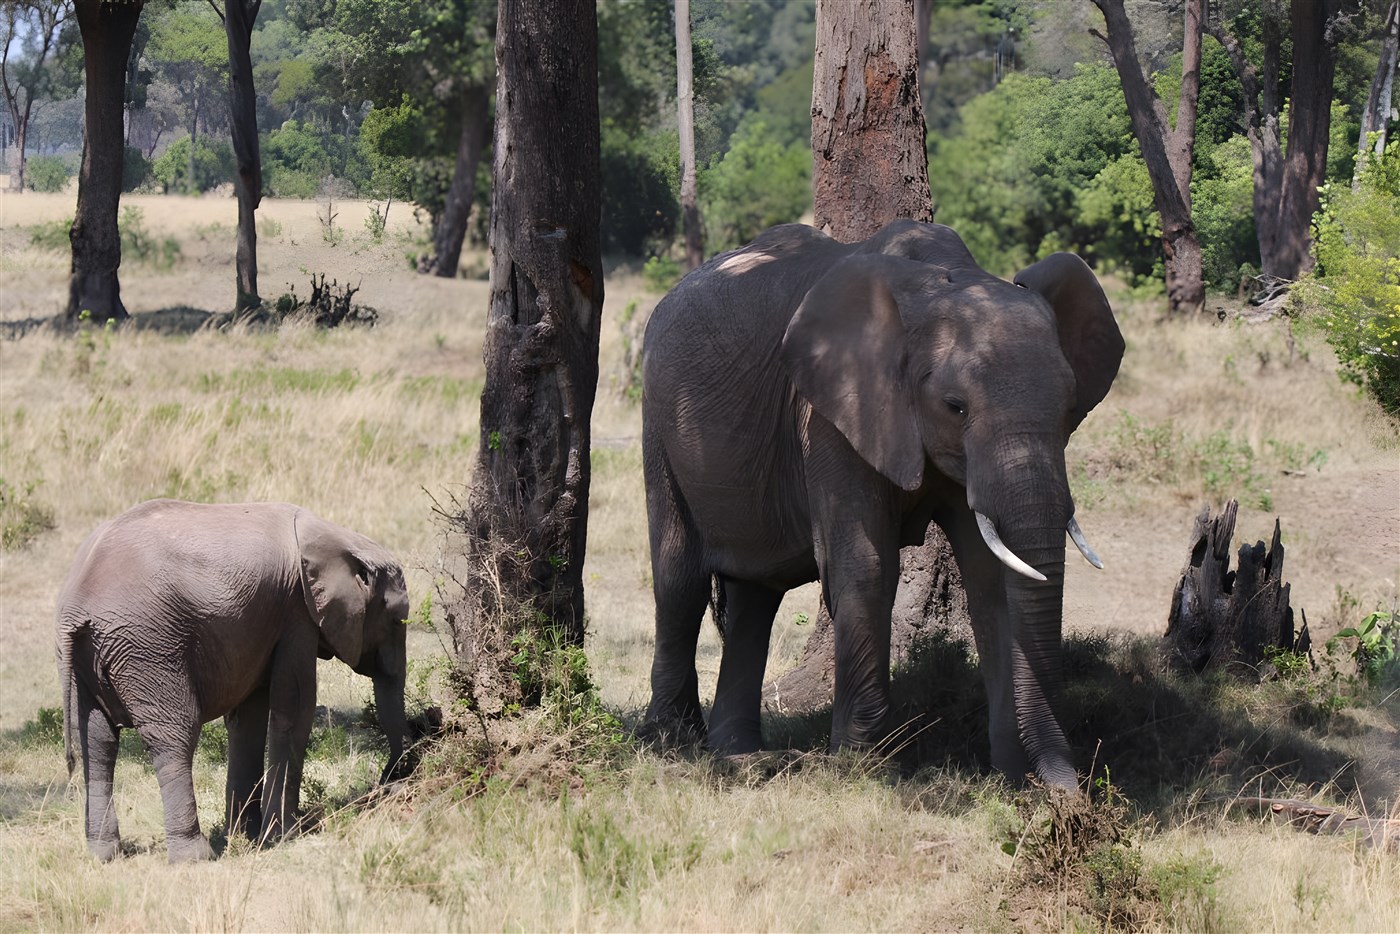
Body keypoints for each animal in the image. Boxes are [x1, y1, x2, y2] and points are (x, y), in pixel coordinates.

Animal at [56, 499, 410, 863]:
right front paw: (283, 835)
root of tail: (78, 607)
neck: (337, 536)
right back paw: (196, 857)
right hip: (148, 649)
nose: (391, 781)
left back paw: (104, 855)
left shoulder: (262, 622)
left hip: (89, 657)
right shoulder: (297, 610)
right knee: (174, 737)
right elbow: (296, 707)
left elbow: (248, 718)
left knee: (97, 743)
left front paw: (246, 836)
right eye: (397, 620)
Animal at [640, 220, 1123, 790]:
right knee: (680, 579)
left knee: (756, 593)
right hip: (658, 416)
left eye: (1070, 408)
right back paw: (670, 743)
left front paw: (1009, 779)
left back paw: (740, 755)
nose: (1073, 793)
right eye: (956, 407)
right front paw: (862, 768)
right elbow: (866, 565)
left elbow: (989, 575)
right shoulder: (830, 410)